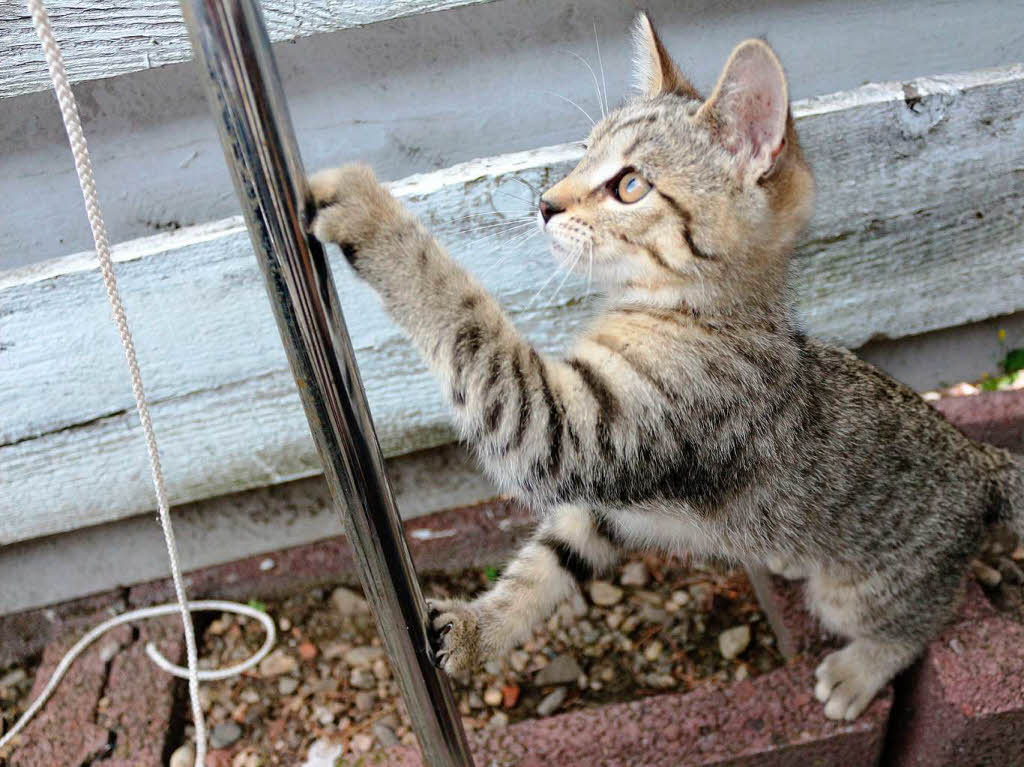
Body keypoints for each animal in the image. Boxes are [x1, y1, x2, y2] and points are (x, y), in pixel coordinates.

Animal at [309, 11, 1024, 716]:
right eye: (583, 152)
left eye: (630, 185)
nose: (544, 202)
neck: (697, 311)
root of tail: (982, 462)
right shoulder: (604, 499)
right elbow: (549, 564)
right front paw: (480, 630)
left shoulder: (572, 428)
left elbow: (461, 311)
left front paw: (368, 212)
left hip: (867, 587)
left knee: (918, 622)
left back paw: (861, 670)